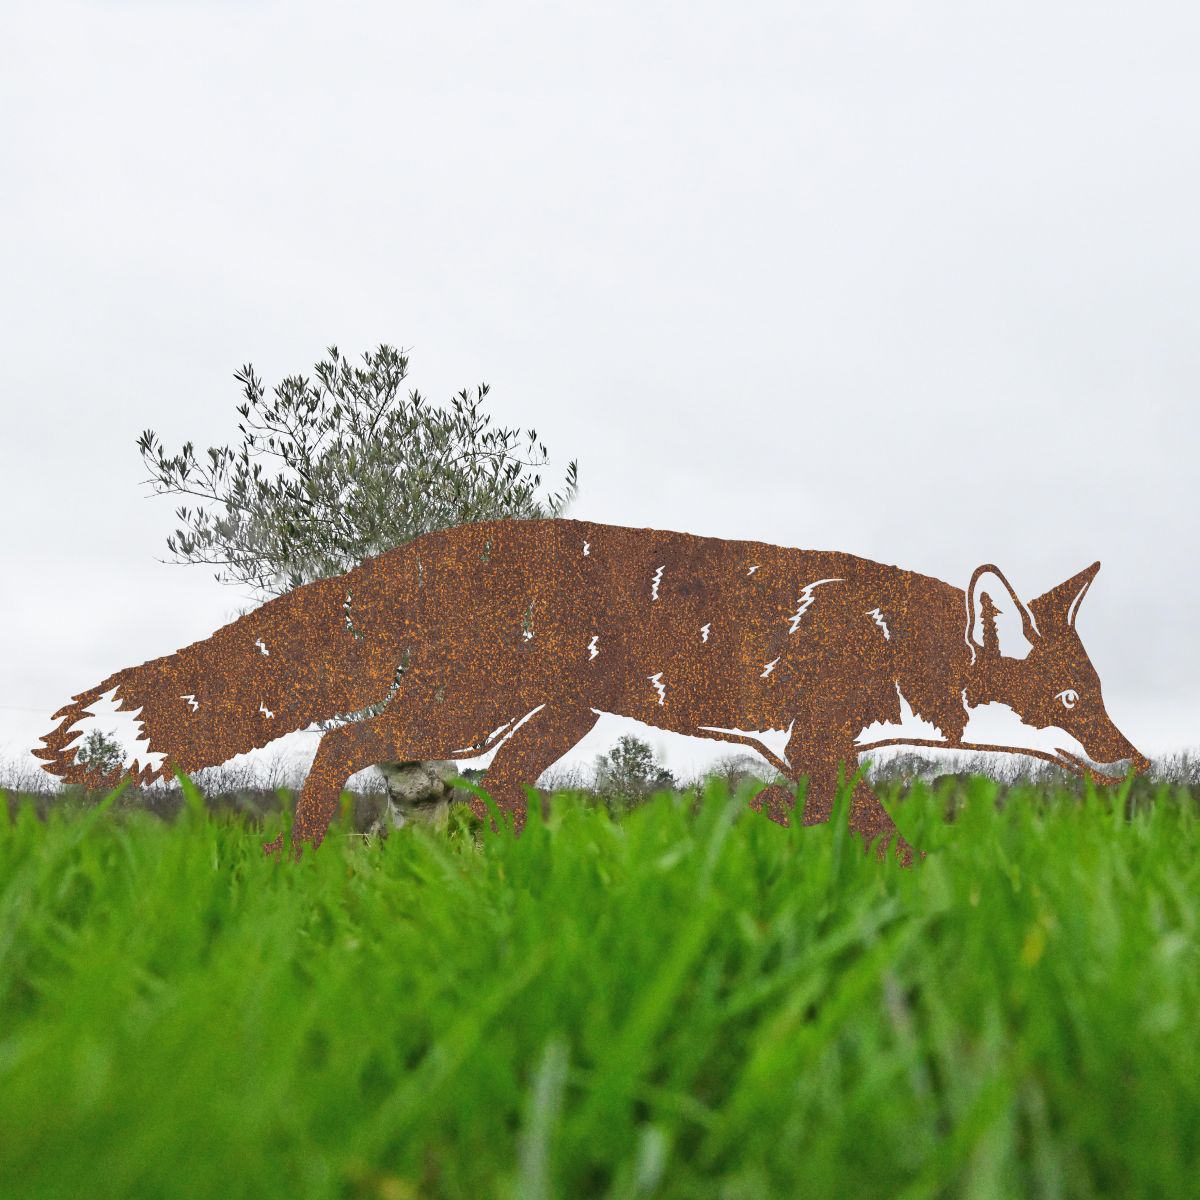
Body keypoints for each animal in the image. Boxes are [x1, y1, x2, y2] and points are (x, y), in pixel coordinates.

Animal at [35, 517, 1149, 864]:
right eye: (1076, 705)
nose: (1137, 763)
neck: (889, 641)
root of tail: (449, 539)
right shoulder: (815, 743)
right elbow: (882, 835)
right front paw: (926, 881)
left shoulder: (795, 757)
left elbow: (791, 821)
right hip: (467, 713)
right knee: (342, 744)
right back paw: (302, 859)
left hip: (554, 719)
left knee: (493, 789)